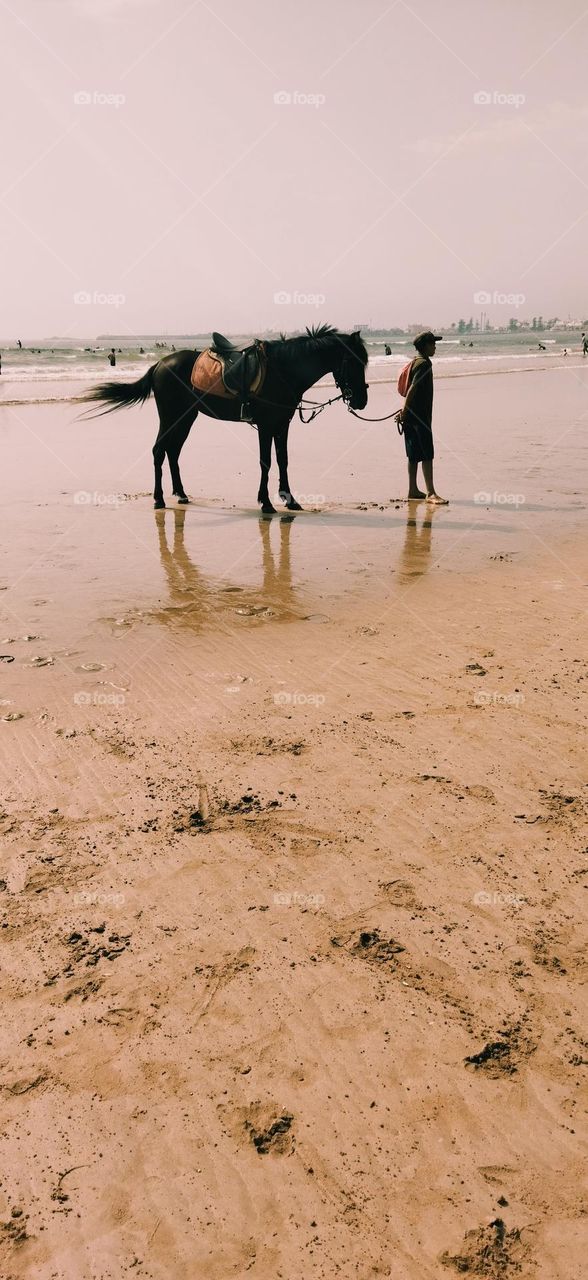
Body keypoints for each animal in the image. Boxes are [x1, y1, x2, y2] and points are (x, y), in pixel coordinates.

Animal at [80, 322, 368, 512]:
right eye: (354, 361)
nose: (361, 401)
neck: (283, 370)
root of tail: (160, 364)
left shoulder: (282, 425)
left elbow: (283, 460)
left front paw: (290, 499)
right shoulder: (266, 425)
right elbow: (266, 462)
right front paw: (266, 503)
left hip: (187, 418)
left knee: (173, 451)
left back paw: (181, 494)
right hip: (171, 416)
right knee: (159, 450)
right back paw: (159, 499)